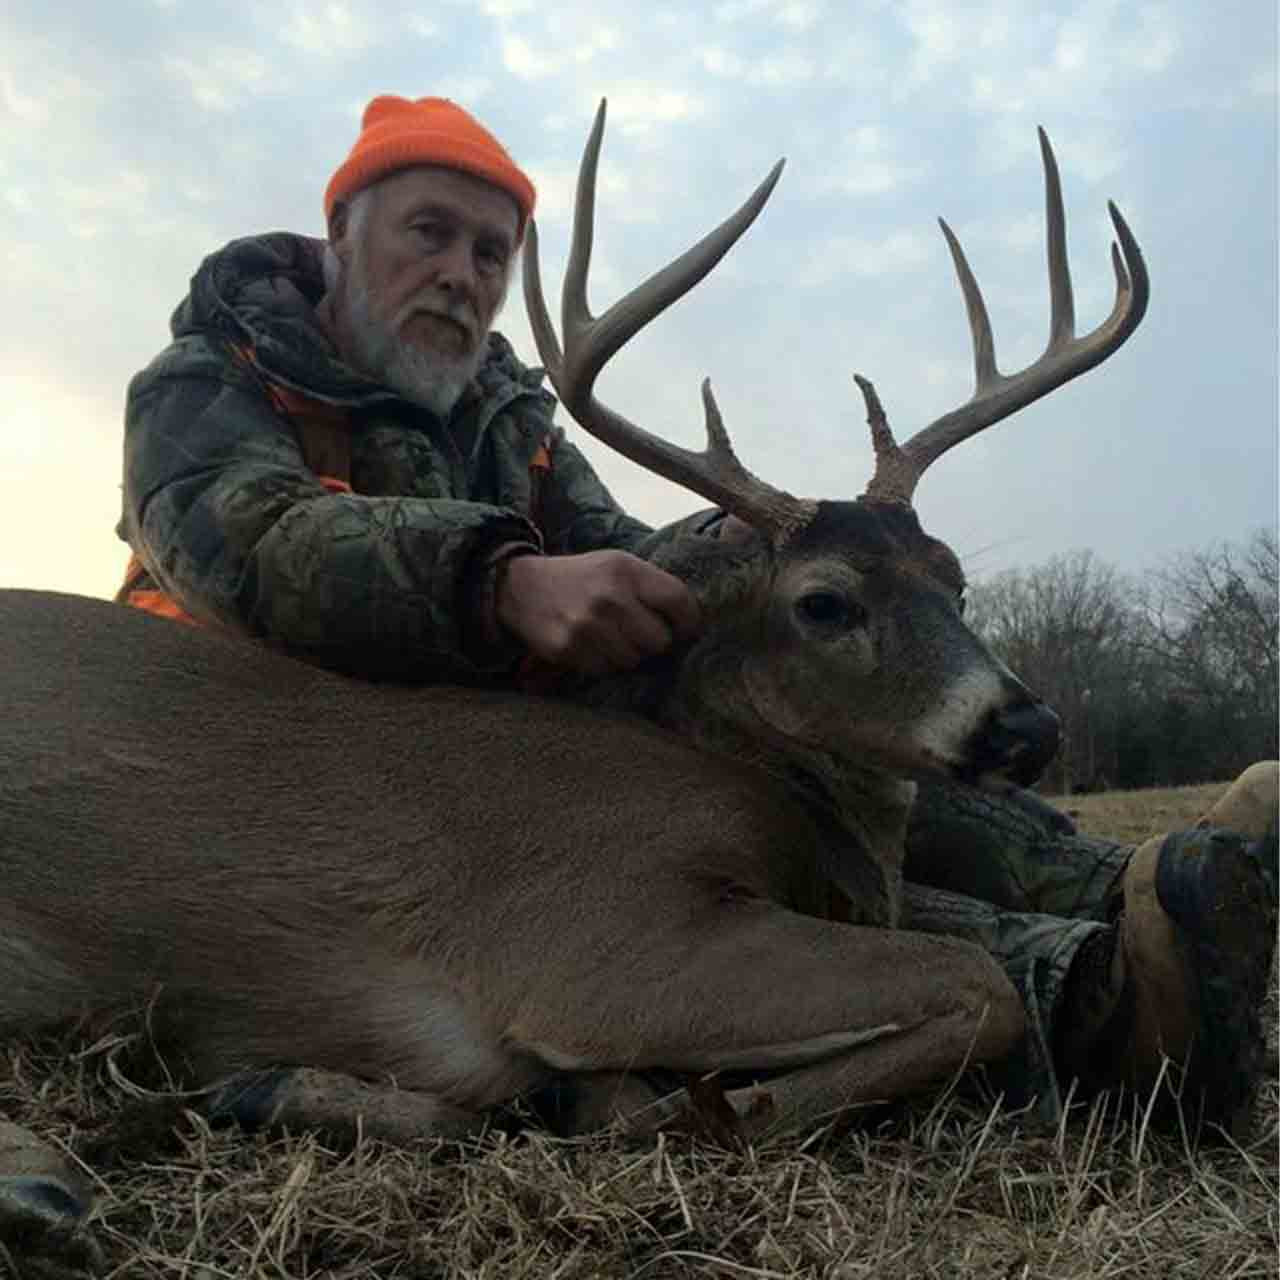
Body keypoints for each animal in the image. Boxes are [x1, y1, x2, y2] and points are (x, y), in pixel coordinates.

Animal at [0, 104, 1147, 1146]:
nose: (1026, 727)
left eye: (954, 581)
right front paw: (693, 1108)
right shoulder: (591, 933)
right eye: (824, 600)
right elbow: (977, 981)